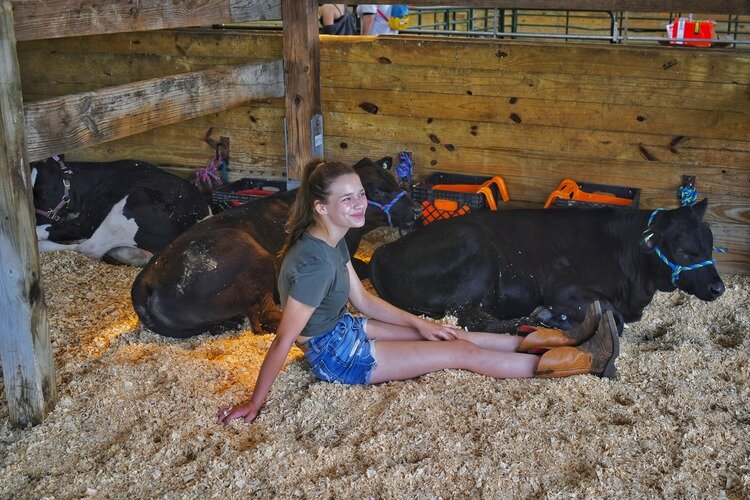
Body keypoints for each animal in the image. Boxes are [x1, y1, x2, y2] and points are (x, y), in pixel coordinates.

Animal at [131, 158, 422, 338]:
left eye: (396, 181)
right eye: (379, 191)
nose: (417, 210)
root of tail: (148, 275)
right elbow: (362, 267)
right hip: (253, 260)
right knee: (266, 317)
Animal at [369, 199, 725, 334]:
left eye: (711, 243)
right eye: (686, 250)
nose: (718, 287)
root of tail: (384, 250)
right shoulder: (565, 291)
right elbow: (615, 317)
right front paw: (555, 318)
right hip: (480, 255)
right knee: (469, 317)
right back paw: (535, 320)